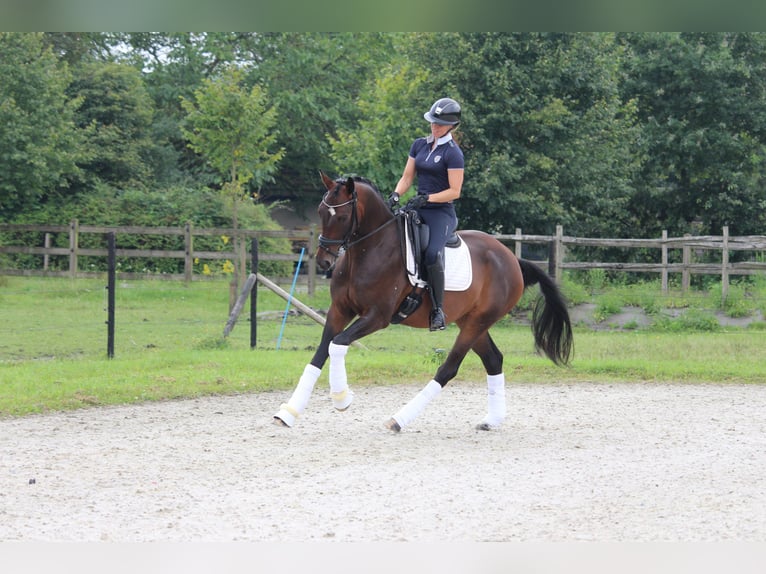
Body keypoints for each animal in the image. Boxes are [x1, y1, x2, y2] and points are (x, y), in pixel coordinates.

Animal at [272, 171, 572, 432]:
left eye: (343, 216)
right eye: (321, 212)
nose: (324, 261)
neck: (370, 250)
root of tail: (511, 259)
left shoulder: (377, 317)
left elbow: (338, 344)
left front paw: (341, 398)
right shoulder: (339, 310)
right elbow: (321, 352)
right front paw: (288, 412)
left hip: (477, 323)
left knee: (449, 368)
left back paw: (399, 419)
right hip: (472, 322)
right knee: (494, 360)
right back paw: (492, 421)